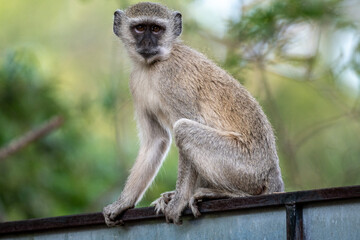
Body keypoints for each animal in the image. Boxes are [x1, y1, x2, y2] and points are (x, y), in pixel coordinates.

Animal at [102, 2, 286, 227]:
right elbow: (156, 141)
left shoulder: (171, 80)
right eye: (140, 28)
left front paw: (179, 201)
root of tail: (272, 172)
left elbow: (189, 122)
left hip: (246, 169)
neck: (153, 65)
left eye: (156, 29)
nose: (147, 42)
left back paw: (229, 194)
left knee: (184, 129)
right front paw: (123, 203)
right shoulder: (135, 84)